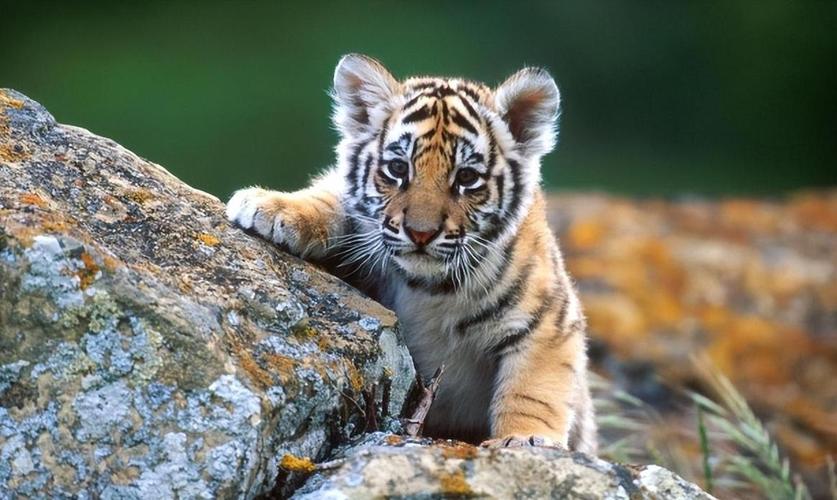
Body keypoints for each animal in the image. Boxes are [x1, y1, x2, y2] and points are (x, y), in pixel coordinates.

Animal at [226, 54, 597, 453]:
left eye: (467, 178)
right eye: (398, 168)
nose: (421, 233)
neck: (428, 288)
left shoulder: (549, 322)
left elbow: (533, 390)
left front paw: (526, 439)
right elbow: (332, 197)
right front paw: (270, 206)